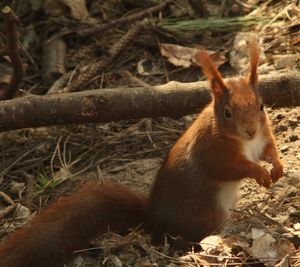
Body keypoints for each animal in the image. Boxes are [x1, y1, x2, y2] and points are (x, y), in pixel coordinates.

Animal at [0, 38, 284, 267]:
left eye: (261, 105)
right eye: (227, 113)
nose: (250, 130)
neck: (243, 141)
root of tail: (152, 219)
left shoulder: (263, 137)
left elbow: (269, 151)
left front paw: (277, 168)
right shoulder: (214, 150)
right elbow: (231, 168)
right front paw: (259, 172)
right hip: (208, 214)